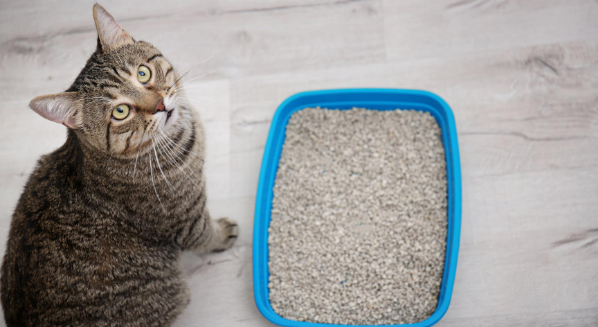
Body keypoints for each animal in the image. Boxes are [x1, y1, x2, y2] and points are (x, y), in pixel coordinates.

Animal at [0, 5, 239, 327]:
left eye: (143, 73)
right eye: (121, 111)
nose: (161, 105)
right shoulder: (185, 219)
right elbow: (206, 234)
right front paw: (222, 233)